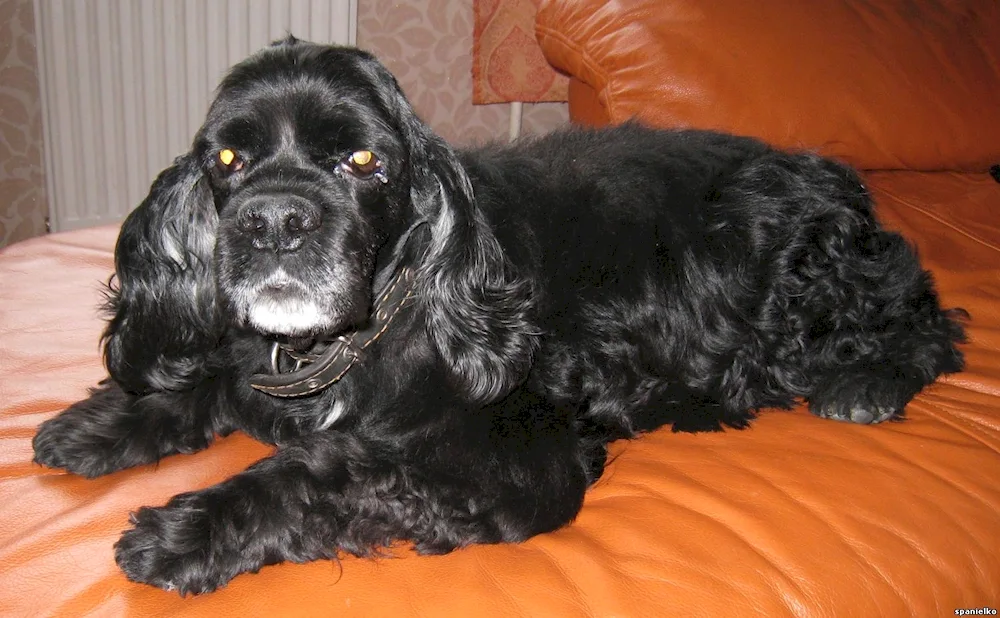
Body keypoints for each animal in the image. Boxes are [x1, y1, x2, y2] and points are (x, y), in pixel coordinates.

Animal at [35, 37, 964, 592]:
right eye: (228, 157)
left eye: (363, 160)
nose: (273, 222)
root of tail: (841, 182)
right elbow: (208, 380)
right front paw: (97, 424)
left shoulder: (516, 463)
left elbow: (327, 468)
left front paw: (189, 528)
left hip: (804, 281)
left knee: (929, 323)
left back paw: (867, 385)